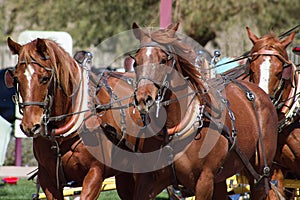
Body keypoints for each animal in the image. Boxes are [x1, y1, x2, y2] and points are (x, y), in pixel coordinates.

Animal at [131, 22, 278, 200]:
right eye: (135, 62)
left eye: (163, 60)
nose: (143, 99)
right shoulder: (148, 181)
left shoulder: (204, 181)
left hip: (260, 170)